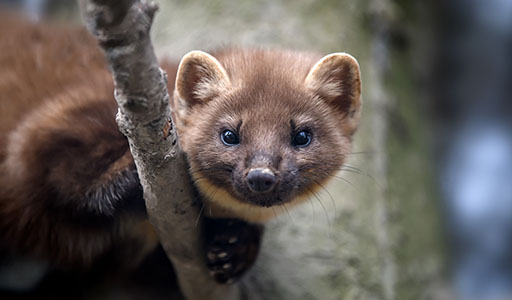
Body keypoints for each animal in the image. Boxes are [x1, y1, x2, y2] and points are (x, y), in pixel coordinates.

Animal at [1, 15, 360, 284]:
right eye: (229, 134)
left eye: (302, 135)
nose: (261, 175)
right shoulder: (60, 119)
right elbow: (60, 171)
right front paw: (130, 177)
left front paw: (235, 245)